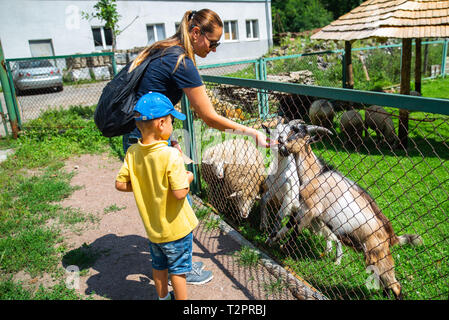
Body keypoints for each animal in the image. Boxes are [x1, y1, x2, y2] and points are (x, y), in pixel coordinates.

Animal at [268, 122, 422, 300]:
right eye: (290, 130)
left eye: (300, 135)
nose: (281, 145)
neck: (315, 175)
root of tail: (391, 236)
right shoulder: (306, 210)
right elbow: (289, 225)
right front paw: (272, 239)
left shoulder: (310, 210)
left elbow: (295, 229)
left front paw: (283, 248)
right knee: (385, 282)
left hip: (379, 253)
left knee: (396, 285)